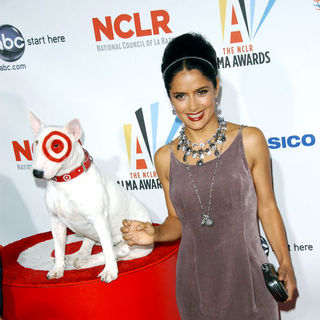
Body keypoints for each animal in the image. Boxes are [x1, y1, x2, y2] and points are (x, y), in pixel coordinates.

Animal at [28, 110, 153, 282]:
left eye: (56, 145)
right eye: (36, 142)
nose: (37, 173)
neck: (66, 181)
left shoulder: (99, 220)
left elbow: (108, 250)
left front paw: (110, 272)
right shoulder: (55, 220)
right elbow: (58, 247)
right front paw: (58, 268)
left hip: (131, 239)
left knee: (116, 251)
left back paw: (85, 262)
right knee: (87, 246)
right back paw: (74, 257)